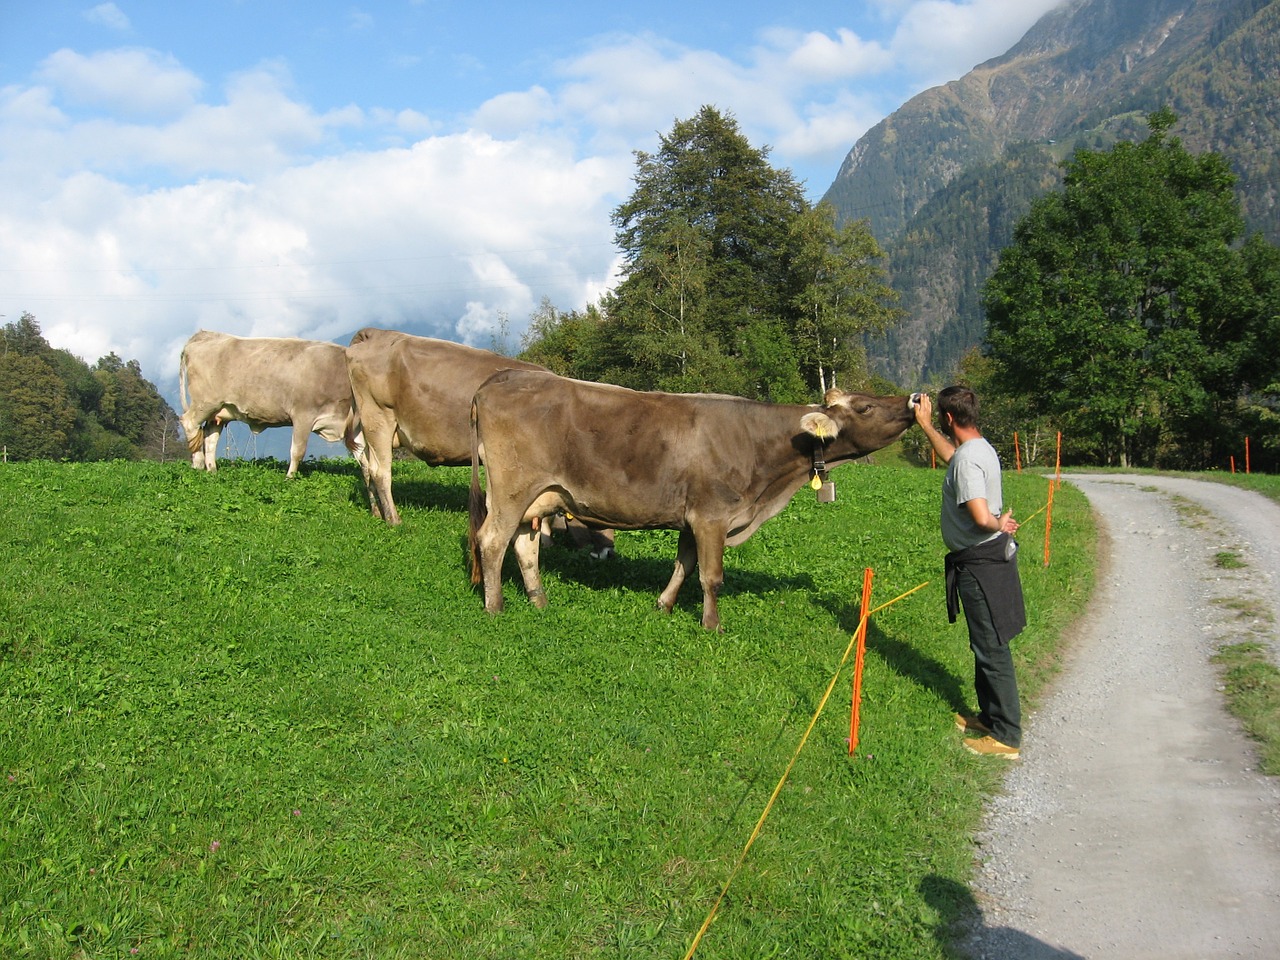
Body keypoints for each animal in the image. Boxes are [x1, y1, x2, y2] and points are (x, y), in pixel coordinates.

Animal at [177, 332, 363, 478]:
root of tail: (205, 334)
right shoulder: (303, 415)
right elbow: (297, 451)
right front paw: (290, 477)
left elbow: (363, 454)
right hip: (205, 403)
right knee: (190, 423)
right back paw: (198, 464)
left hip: (220, 411)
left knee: (210, 436)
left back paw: (212, 470)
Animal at [471, 371, 921, 634]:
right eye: (865, 406)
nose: (913, 400)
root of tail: (503, 376)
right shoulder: (712, 515)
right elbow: (711, 577)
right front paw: (712, 625)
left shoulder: (692, 518)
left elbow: (684, 567)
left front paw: (664, 605)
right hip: (512, 488)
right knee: (491, 540)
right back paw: (495, 606)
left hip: (538, 497)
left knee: (524, 545)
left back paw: (538, 600)